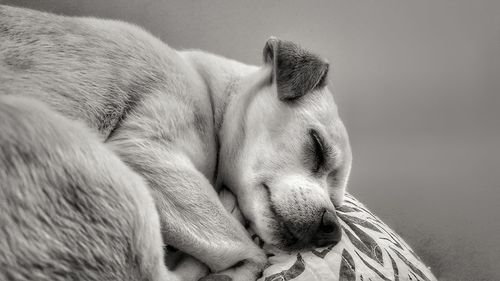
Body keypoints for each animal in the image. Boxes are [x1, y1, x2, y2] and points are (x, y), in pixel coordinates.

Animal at [0, 4, 352, 280]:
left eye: (338, 205)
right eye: (317, 147)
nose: (331, 228)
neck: (210, 94)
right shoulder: (148, 153)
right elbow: (250, 252)